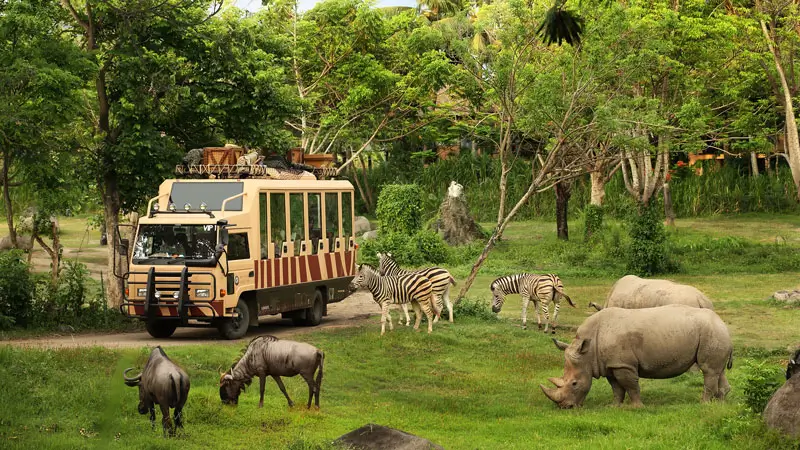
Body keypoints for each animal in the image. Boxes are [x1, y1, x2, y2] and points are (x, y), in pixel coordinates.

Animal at [541, 304, 732, 409]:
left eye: (574, 383)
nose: (565, 407)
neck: (588, 352)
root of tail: (723, 323)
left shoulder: (623, 364)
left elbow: (631, 386)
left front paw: (637, 407)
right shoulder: (610, 364)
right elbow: (616, 388)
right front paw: (614, 407)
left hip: (711, 331)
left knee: (708, 370)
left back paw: (703, 404)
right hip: (715, 333)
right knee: (718, 371)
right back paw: (720, 404)